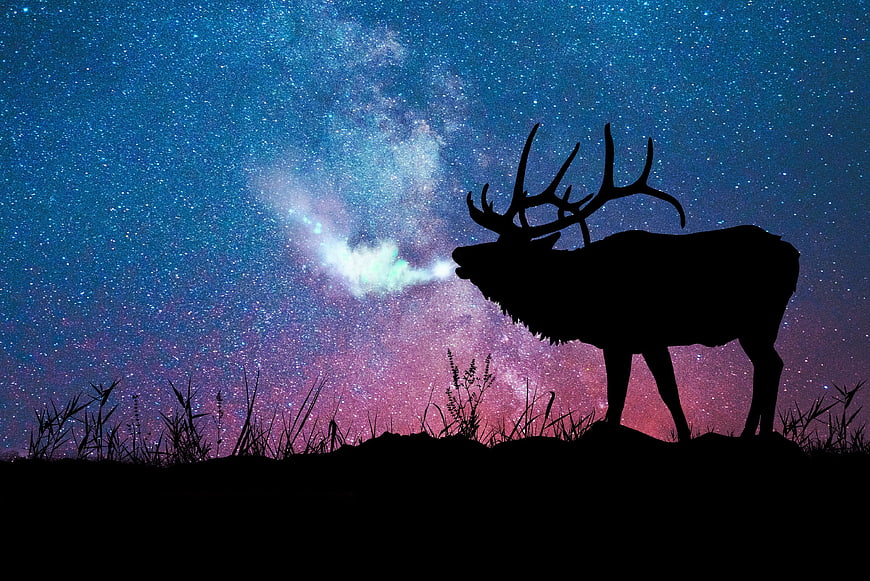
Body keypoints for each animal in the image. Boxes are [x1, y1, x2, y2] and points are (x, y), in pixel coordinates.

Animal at [452, 123, 799, 442]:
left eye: (505, 250)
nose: (459, 252)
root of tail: (794, 256)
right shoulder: (623, 341)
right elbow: (627, 394)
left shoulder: (641, 336)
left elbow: (653, 392)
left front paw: (682, 436)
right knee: (769, 366)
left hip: (758, 321)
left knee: (769, 367)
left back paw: (754, 435)